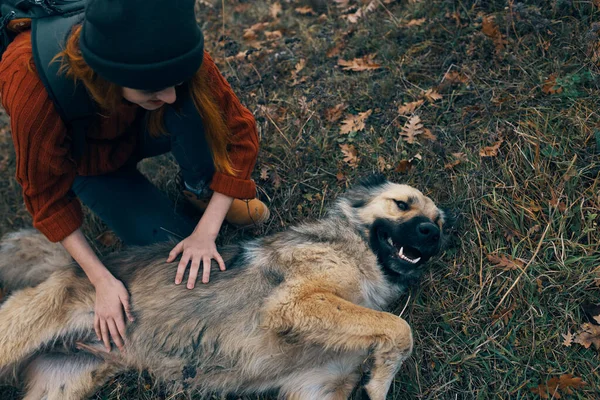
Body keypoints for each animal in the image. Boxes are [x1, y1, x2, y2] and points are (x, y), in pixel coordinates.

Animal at [0, 177, 446, 400]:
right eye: (402, 204)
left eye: (439, 220)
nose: (433, 233)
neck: (357, 249)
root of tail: (77, 267)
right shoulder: (293, 303)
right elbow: (398, 328)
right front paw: (381, 378)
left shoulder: (317, 388)